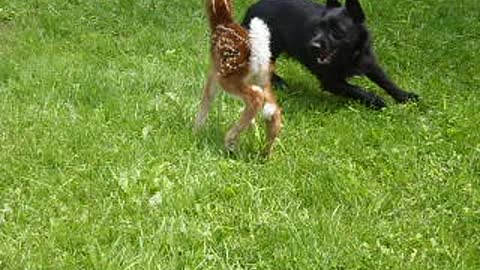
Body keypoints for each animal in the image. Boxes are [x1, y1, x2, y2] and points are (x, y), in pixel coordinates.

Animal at [242, 0, 418, 109]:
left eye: (337, 31)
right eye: (317, 28)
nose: (312, 46)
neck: (348, 55)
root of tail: (251, 8)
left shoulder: (369, 61)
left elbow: (386, 80)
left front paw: (404, 96)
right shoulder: (331, 81)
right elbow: (356, 89)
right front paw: (377, 101)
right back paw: (278, 82)